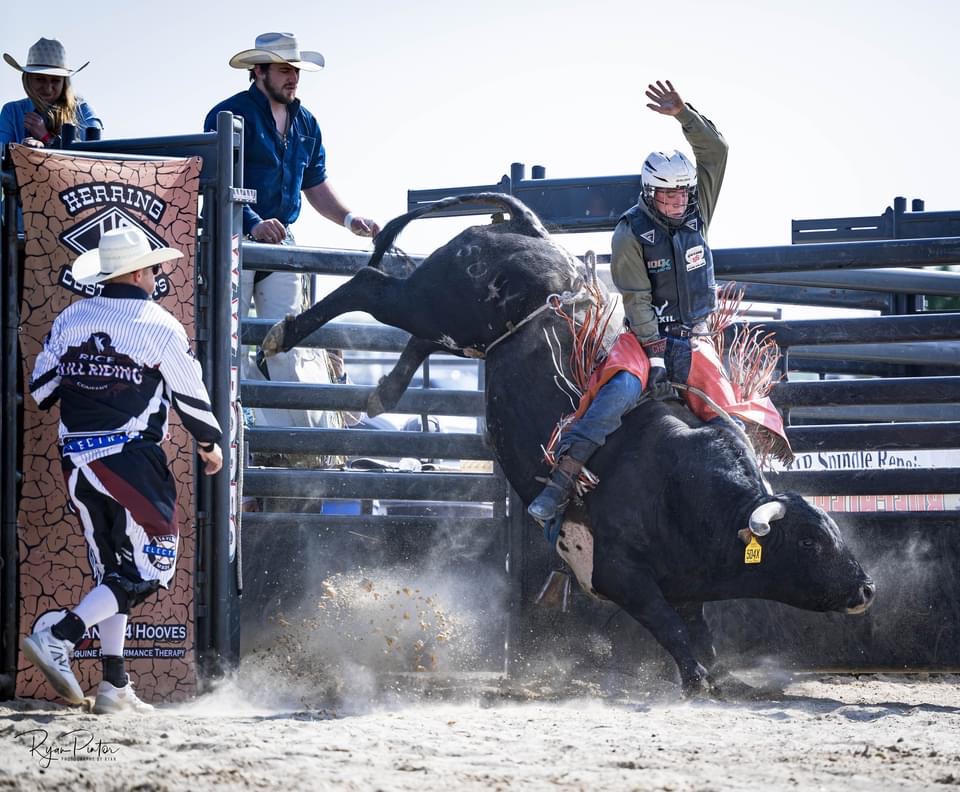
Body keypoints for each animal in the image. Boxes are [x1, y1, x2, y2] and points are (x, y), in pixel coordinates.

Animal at [262, 192, 876, 692]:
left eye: (833, 533)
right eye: (809, 544)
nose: (867, 588)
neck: (687, 492)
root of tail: (529, 229)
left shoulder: (686, 583)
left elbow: (697, 627)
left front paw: (718, 674)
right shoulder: (619, 574)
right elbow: (669, 626)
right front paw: (698, 680)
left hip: (461, 331)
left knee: (416, 334)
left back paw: (382, 392)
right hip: (435, 299)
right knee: (374, 289)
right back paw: (283, 335)